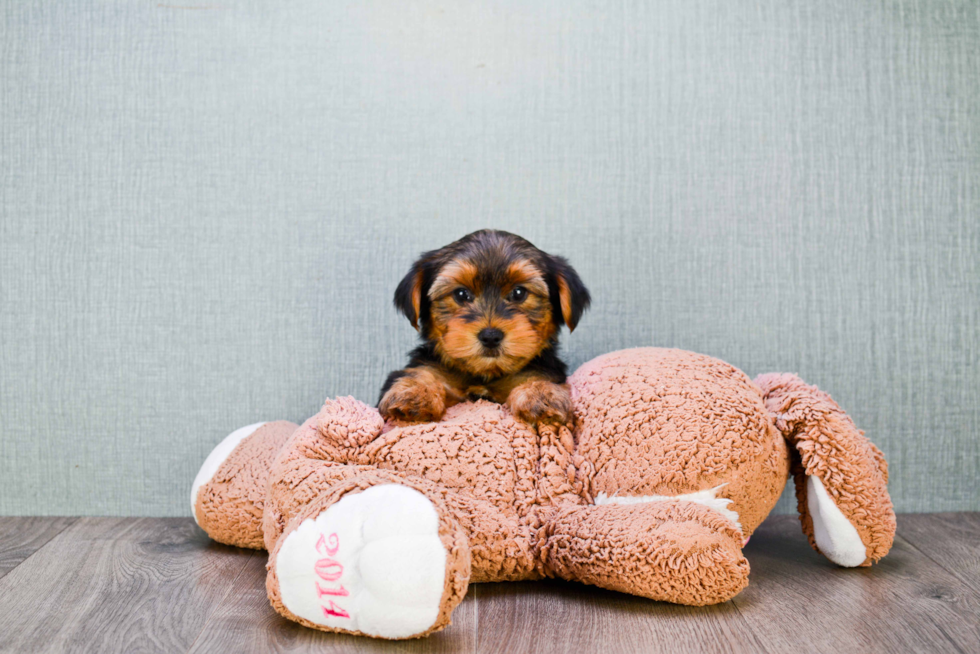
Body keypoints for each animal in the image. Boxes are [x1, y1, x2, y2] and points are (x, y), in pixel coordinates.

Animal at [378, 229, 588, 426]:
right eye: (461, 294)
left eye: (519, 293)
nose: (490, 336)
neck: (484, 376)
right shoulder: (433, 368)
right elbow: (423, 372)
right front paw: (414, 392)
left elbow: (537, 377)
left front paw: (541, 394)